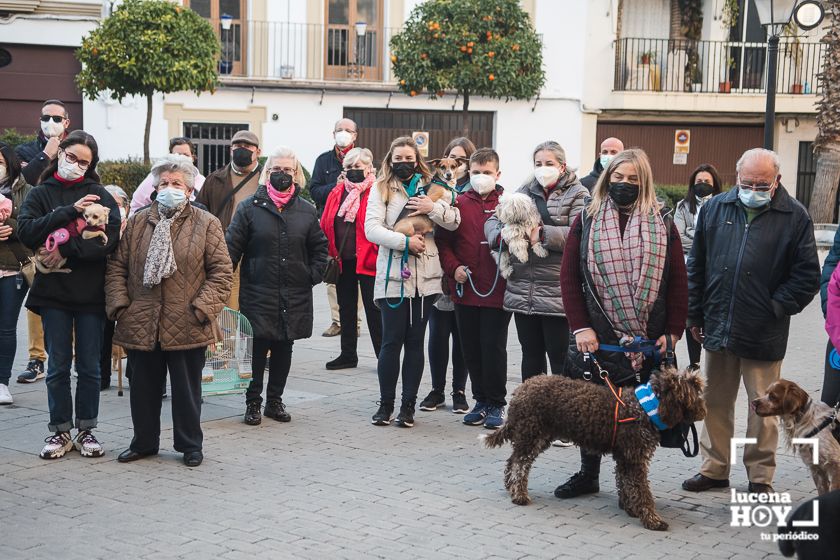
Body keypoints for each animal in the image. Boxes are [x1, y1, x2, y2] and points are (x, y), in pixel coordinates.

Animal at [482, 370, 704, 532]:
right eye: (693, 389)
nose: (703, 409)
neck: (643, 407)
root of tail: (521, 389)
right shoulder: (634, 459)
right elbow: (642, 491)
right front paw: (652, 519)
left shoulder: (625, 458)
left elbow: (626, 485)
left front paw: (630, 508)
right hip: (532, 434)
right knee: (519, 464)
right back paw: (518, 494)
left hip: (537, 436)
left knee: (513, 461)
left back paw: (510, 487)